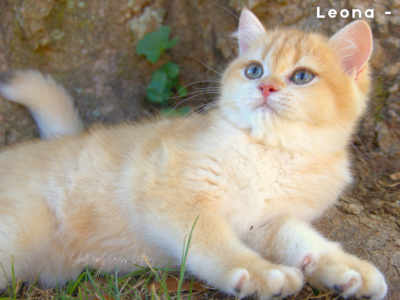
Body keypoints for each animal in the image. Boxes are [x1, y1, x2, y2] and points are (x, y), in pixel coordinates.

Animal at [0, 9, 388, 300]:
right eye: (254, 70)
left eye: (302, 76)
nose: (265, 87)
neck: (272, 153)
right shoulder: (175, 198)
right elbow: (213, 245)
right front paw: (261, 273)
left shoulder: (268, 223)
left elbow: (307, 242)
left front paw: (347, 269)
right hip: (16, 231)